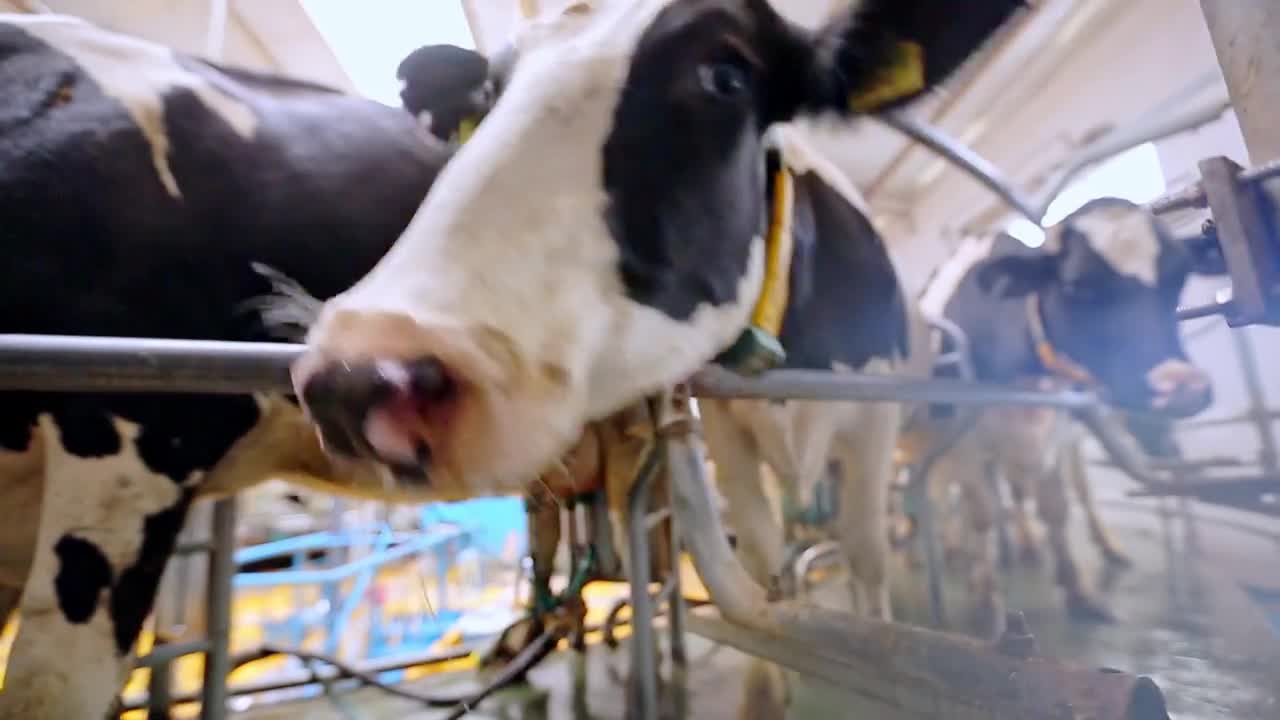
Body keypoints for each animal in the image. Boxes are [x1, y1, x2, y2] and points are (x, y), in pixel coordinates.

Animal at [916, 193, 1213, 630]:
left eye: (1180, 275)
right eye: (1075, 285)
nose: (1184, 387)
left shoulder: (1055, 431)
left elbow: (1055, 507)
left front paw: (1079, 591)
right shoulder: (963, 441)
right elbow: (981, 513)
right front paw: (986, 599)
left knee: (1042, 493)